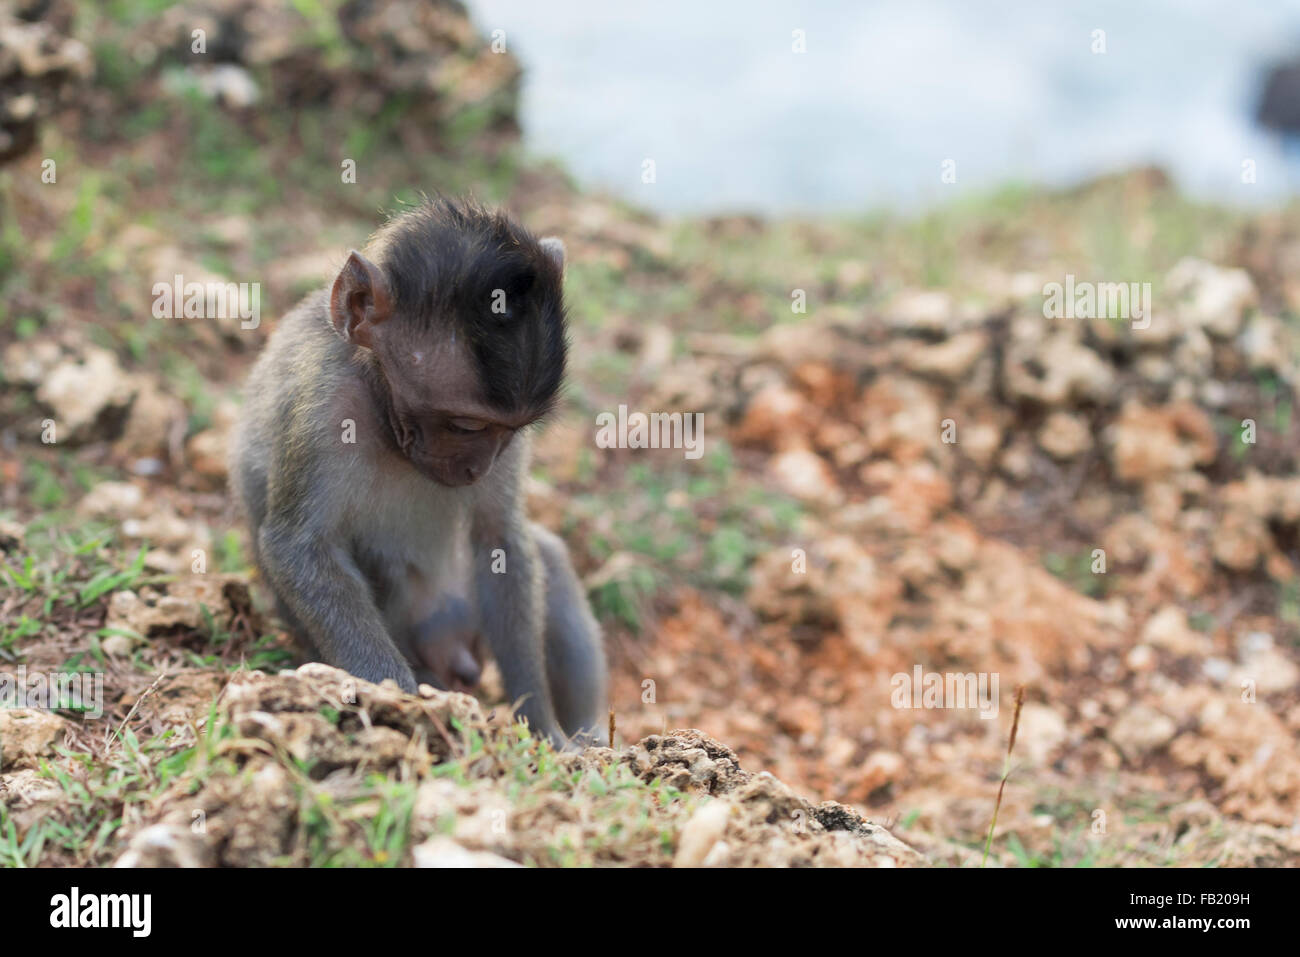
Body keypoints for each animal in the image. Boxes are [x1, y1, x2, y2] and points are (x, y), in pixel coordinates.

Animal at [232, 196, 608, 748]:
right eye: (466, 425)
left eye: (510, 431)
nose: (478, 466)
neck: (381, 403)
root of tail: (456, 647)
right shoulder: (324, 402)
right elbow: (297, 548)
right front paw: (398, 700)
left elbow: (500, 539)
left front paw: (541, 726)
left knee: (547, 556)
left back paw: (587, 733)